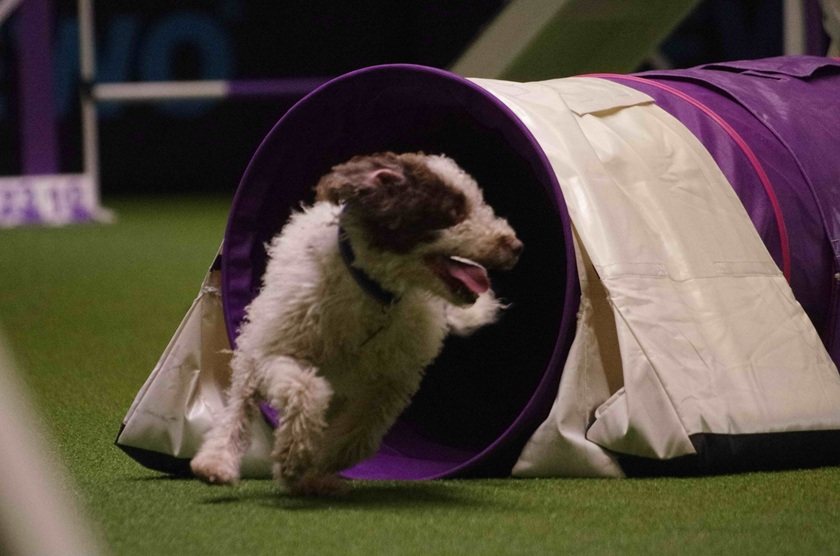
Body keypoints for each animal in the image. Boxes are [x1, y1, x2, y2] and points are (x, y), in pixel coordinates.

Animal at [190, 152, 523, 496]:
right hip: (255, 350)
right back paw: (216, 462)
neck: (371, 289)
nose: (515, 246)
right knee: (240, 407)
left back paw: (312, 479)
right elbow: (306, 389)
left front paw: (317, 460)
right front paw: (293, 454)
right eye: (453, 212)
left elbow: (361, 432)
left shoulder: (391, 381)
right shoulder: (278, 353)